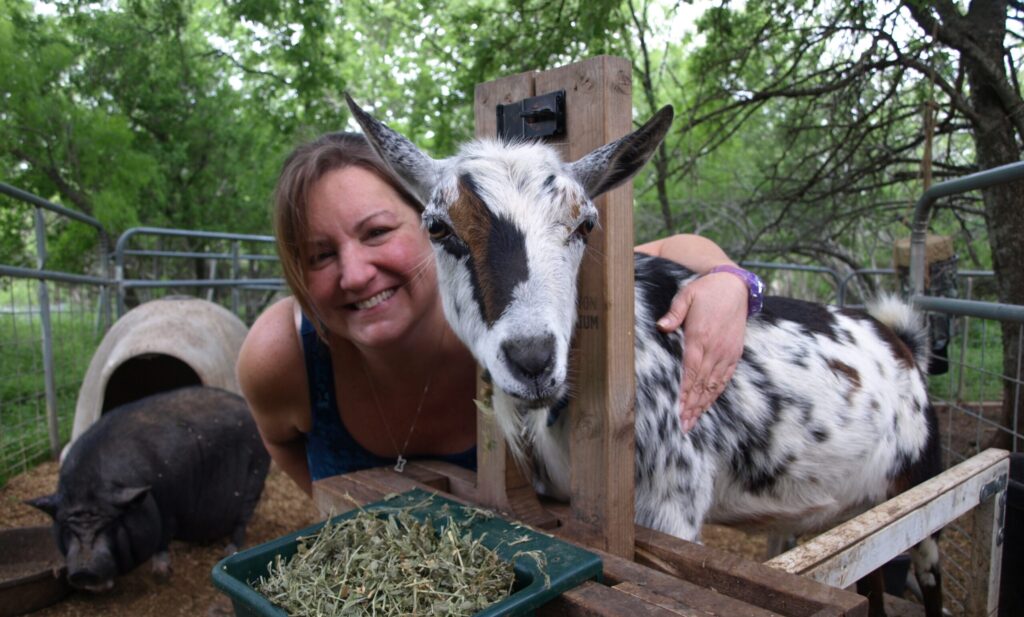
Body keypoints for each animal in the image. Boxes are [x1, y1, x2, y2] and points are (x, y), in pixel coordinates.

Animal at [25, 386, 270, 593]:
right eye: (68, 528)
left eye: (109, 526)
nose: (84, 572)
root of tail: (246, 405)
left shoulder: (170, 505)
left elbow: (162, 539)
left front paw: (161, 575)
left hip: (255, 474)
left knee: (242, 520)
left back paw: (229, 550)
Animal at [346, 96, 942, 617]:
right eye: (437, 227)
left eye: (586, 224)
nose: (533, 359)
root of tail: (900, 339)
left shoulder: (671, 506)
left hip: (918, 487)